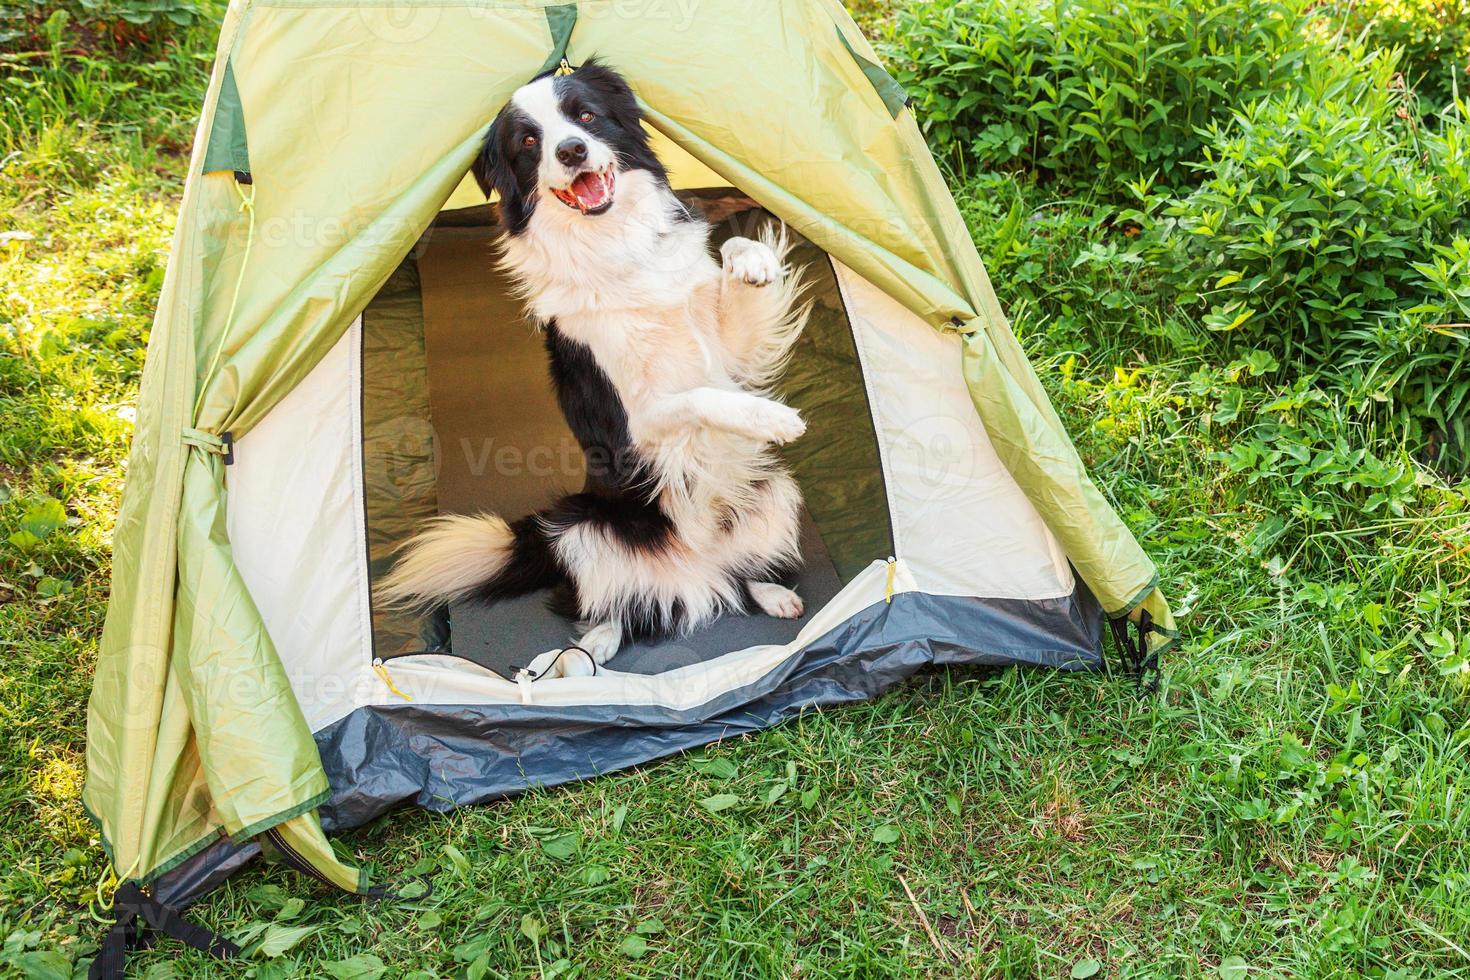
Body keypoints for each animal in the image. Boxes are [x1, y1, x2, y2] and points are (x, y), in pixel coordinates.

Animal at [376, 57, 817, 678]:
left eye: (584, 116)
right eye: (528, 142)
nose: (572, 151)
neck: (613, 246)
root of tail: (694, 568)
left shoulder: (726, 350)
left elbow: (732, 276)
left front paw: (753, 260)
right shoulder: (631, 424)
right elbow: (702, 397)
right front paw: (771, 418)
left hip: (772, 488)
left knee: (740, 571)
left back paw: (772, 592)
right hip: (577, 526)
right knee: (602, 604)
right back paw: (589, 651)